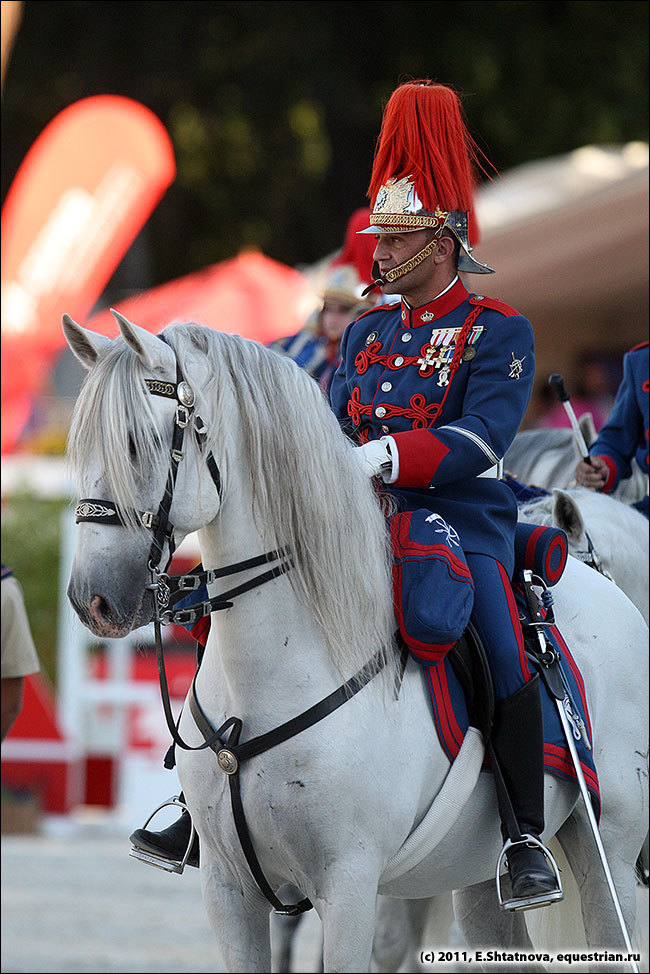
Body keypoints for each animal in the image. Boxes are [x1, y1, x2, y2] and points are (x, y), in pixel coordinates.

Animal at [64, 316, 644, 974]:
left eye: (140, 442)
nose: (91, 600)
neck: (278, 666)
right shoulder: (229, 888)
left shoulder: (348, 884)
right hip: (475, 873)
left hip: (608, 855)